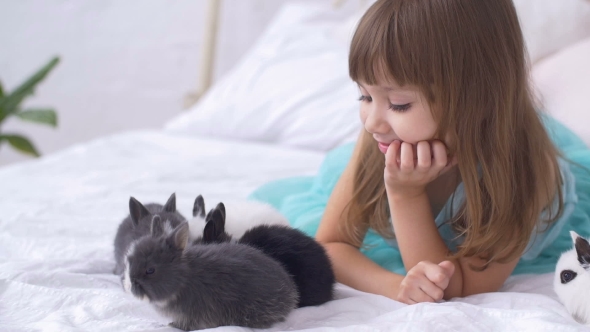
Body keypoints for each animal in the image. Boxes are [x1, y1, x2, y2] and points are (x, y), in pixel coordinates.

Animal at [124, 211, 300, 330]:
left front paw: (172, 325)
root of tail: (291, 291)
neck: (184, 278)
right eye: (129, 260)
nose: (131, 284)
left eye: (150, 270)